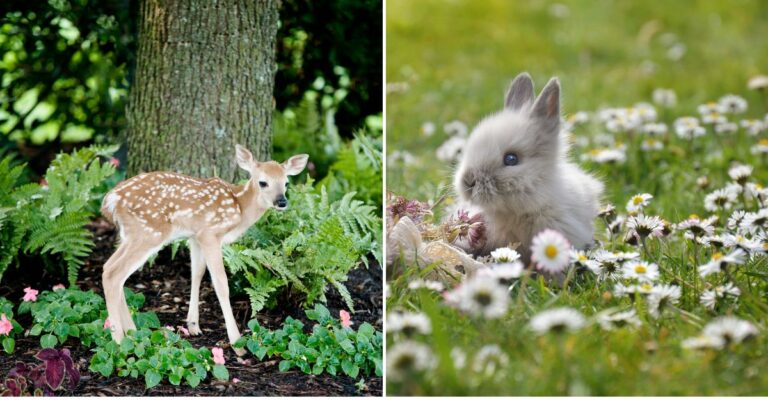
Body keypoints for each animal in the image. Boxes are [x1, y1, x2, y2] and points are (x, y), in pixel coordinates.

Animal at [100, 144, 308, 354]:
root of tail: (110, 200)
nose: (281, 202)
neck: (240, 208)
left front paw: (193, 325)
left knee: (109, 268)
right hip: (149, 232)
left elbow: (197, 273)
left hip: (130, 235)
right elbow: (221, 284)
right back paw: (119, 342)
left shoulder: (195, 236)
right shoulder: (210, 234)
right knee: (114, 273)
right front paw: (237, 343)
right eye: (263, 182)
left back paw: (133, 333)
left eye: (286, 183)